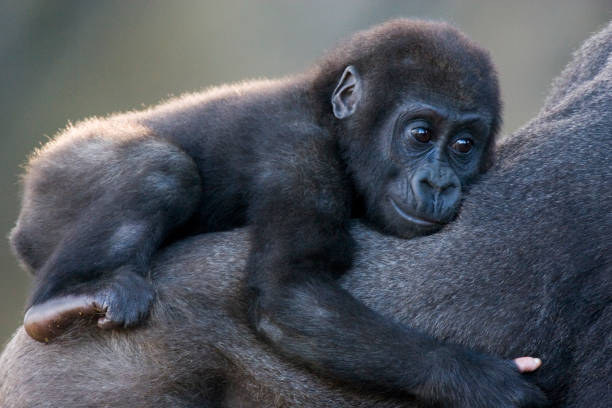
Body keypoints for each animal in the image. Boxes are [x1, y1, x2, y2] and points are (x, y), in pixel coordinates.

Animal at [0, 22, 608, 408]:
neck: (329, 114)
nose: (438, 183)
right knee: (160, 170)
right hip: (60, 182)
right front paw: (476, 380)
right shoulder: (301, 152)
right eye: (419, 135)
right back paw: (65, 300)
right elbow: (289, 291)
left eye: (463, 145)